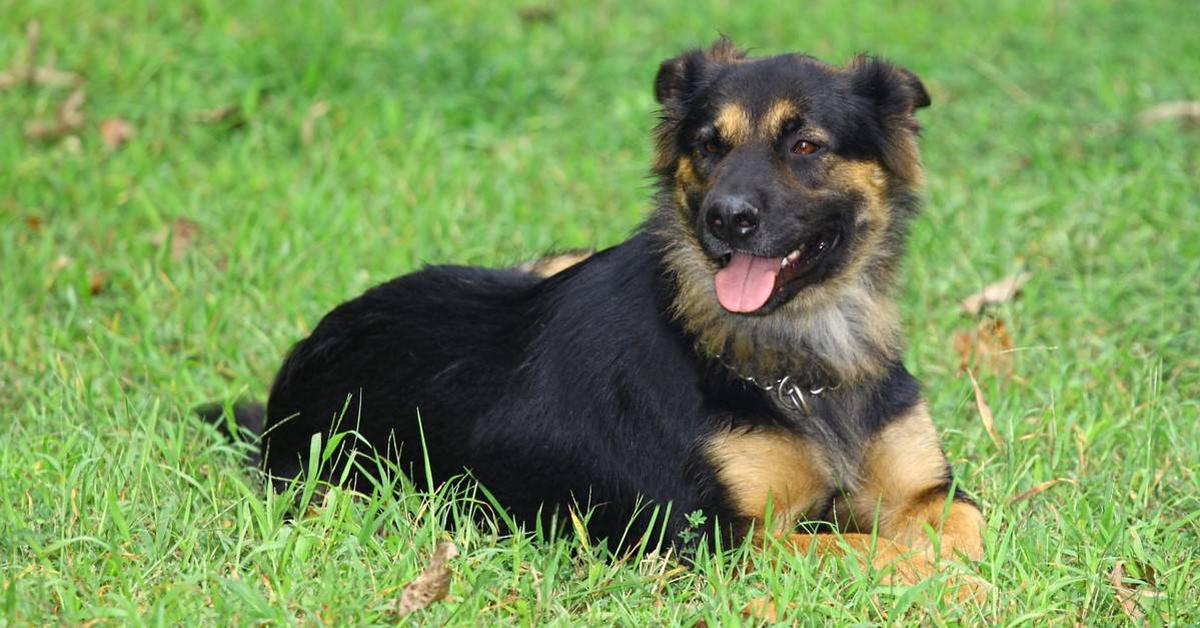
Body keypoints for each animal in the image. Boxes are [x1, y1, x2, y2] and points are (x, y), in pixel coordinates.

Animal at [199, 39, 984, 585]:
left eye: (806, 144)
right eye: (709, 146)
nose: (725, 219)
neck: (803, 355)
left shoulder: (925, 492)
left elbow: (966, 527)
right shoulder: (723, 540)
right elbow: (873, 553)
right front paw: (952, 587)